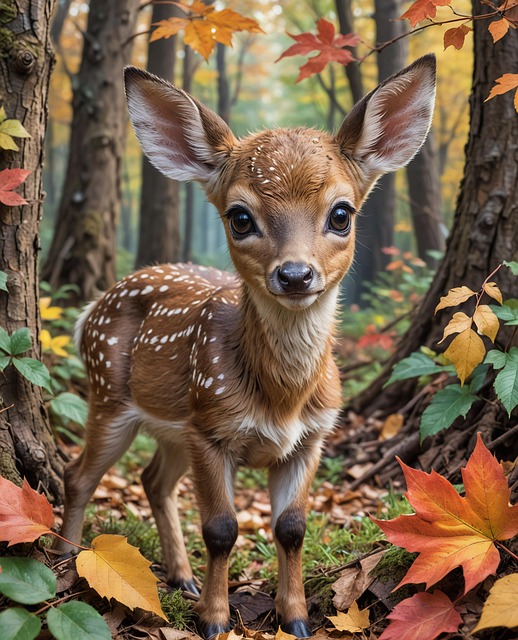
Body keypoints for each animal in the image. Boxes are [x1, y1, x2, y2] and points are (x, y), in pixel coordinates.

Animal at [55, 54, 436, 638]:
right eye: (240, 217)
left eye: (341, 214)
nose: (296, 274)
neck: (282, 399)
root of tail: (90, 312)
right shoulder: (212, 429)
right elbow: (221, 528)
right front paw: (214, 620)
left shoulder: (312, 436)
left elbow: (292, 527)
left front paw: (295, 617)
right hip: (111, 397)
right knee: (79, 477)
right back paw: (70, 565)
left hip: (174, 425)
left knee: (153, 481)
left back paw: (181, 577)